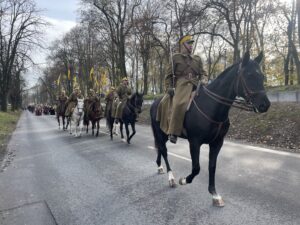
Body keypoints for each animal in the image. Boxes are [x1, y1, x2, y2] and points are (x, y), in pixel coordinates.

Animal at [151, 51, 270, 207]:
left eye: (261, 76)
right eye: (249, 75)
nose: (265, 105)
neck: (212, 105)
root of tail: (155, 102)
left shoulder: (217, 143)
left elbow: (212, 167)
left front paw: (214, 194)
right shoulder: (194, 142)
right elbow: (196, 168)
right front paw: (184, 180)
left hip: (163, 135)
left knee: (160, 148)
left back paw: (160, 167)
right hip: (161, 133)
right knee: (164, 151)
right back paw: (171, 178)